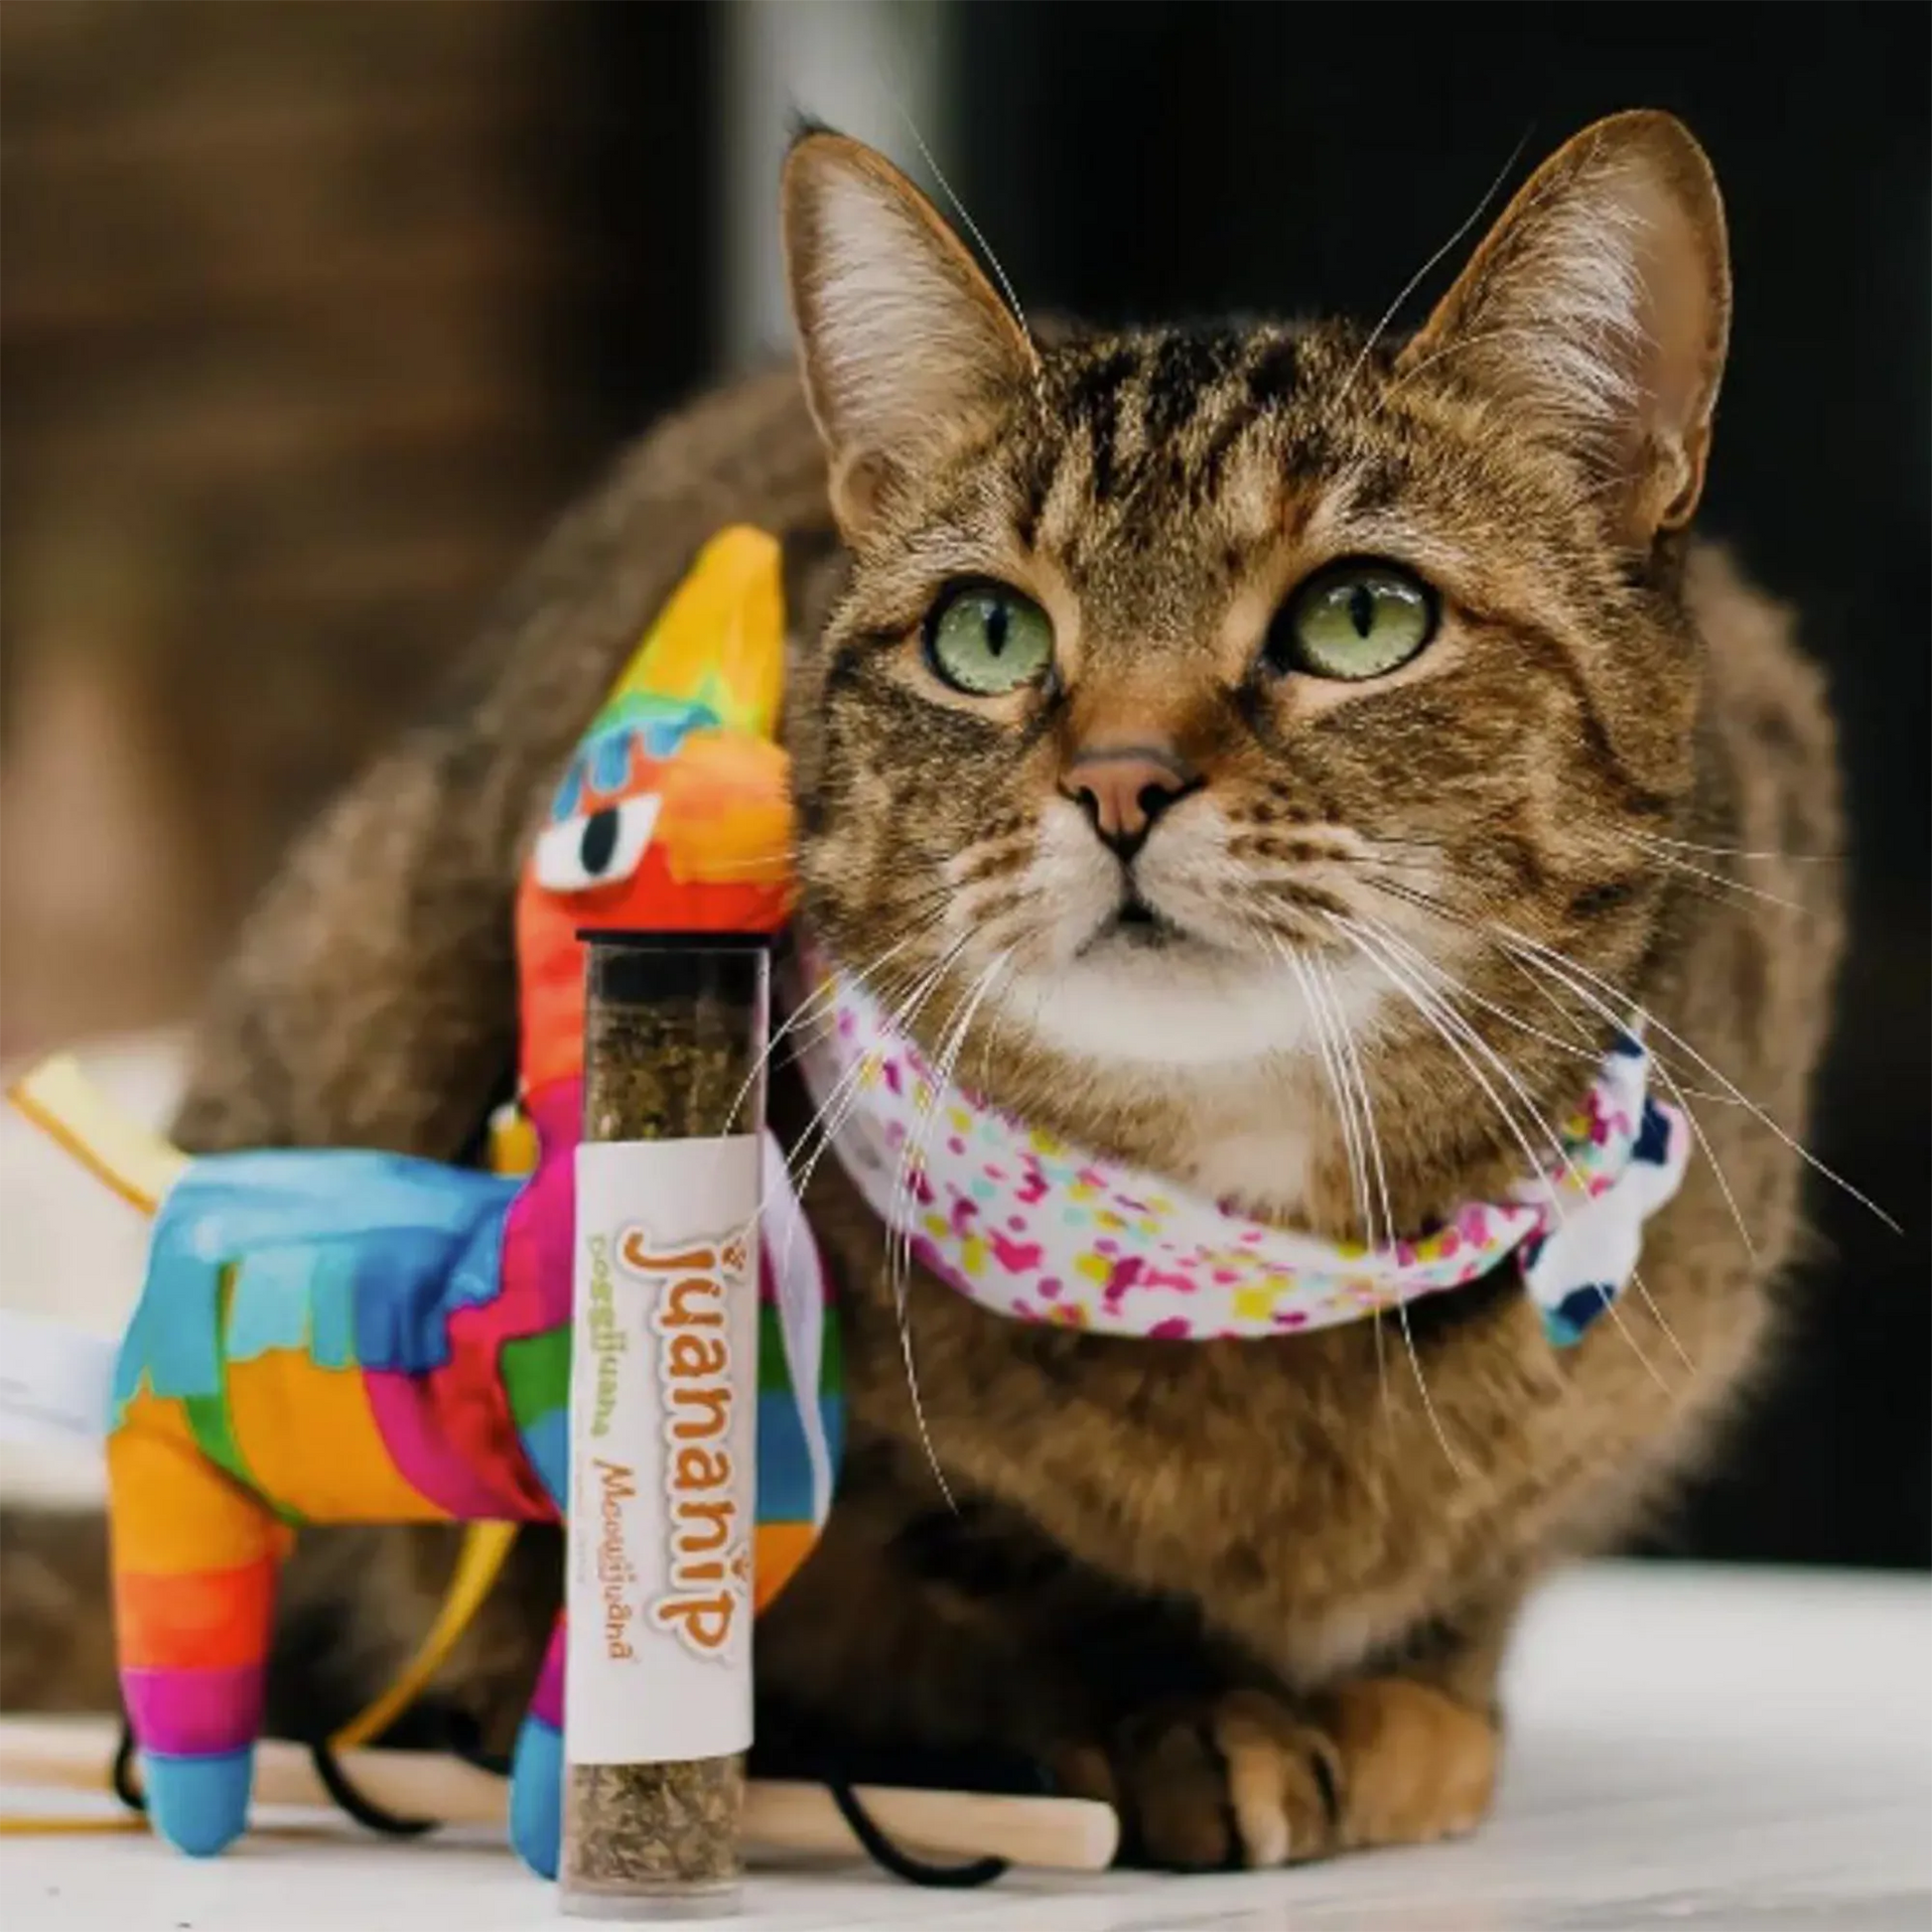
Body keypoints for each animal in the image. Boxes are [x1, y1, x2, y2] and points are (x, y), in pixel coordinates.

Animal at [3, 112, 1839, 1862]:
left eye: (1362, 615)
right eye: (985, 636)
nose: (1117, 783)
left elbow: (1486, 1567)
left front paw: (1417, 1704)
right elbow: (1013, 1571)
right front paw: (1193, 1716)